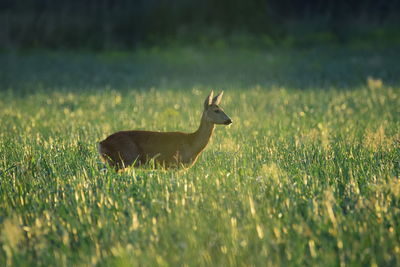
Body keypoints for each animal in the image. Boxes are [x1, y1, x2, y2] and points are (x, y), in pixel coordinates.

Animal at [98, 91, 233, 172]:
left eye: (222, 108)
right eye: (216, 110)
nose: (229, 120)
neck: (191, 142)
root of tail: (101, 143)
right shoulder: (174, 164)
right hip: (123, 159)